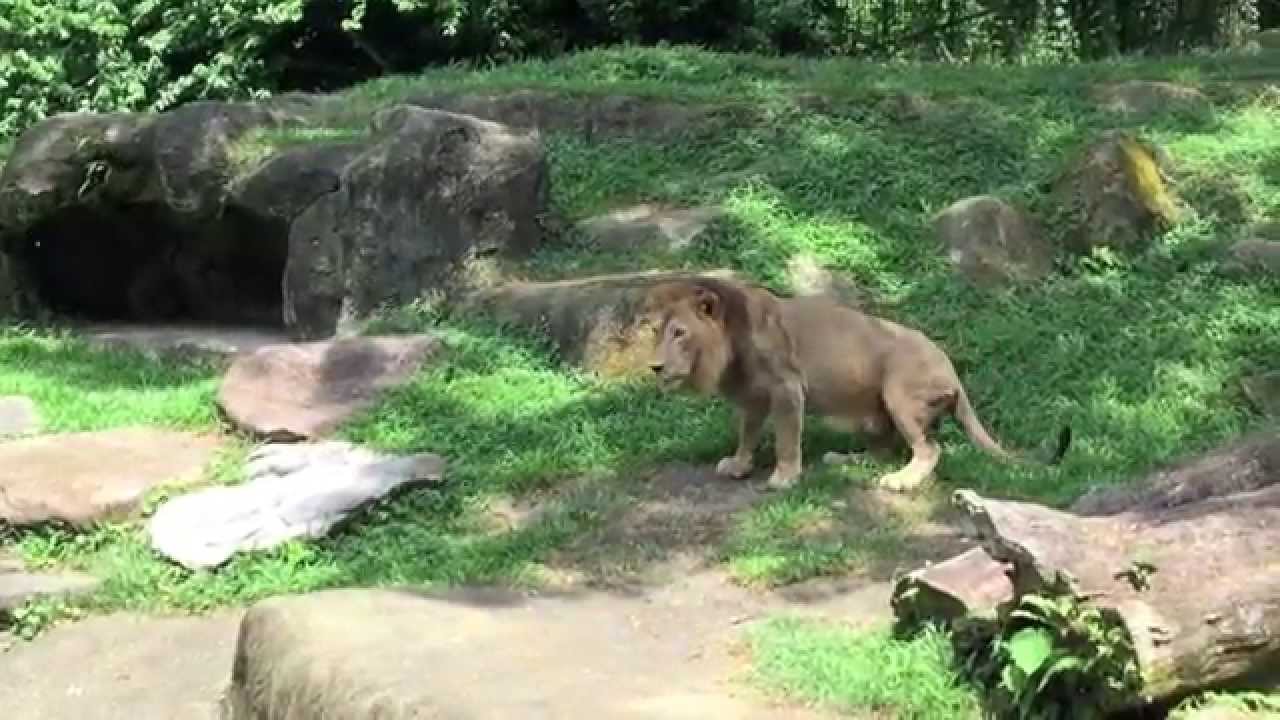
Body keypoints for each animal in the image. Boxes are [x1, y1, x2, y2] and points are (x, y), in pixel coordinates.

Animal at [643, 276, 1072, 492]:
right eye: (656, 331)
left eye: (680, 333)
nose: (655, 367)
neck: (728, 343)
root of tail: (952, 370)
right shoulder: (753, 398)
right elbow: (747, 434)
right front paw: (739, 464)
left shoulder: (787, 388)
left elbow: (786, 439)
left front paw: (784, 477)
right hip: (874, 414)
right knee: (885, 448)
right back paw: (842, 460)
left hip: (898, 393)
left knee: (928, 448)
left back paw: (901, 481)